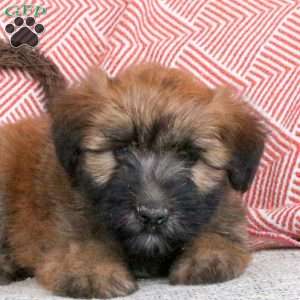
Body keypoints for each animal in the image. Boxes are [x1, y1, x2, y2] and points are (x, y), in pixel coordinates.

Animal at [0, 42, 262, 298]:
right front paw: (93, 270)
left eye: (189, 156)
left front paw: (208, 255)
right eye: (123, 149)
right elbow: (83, 244)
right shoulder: (66, 227)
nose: (152, 215)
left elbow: (220, 235)